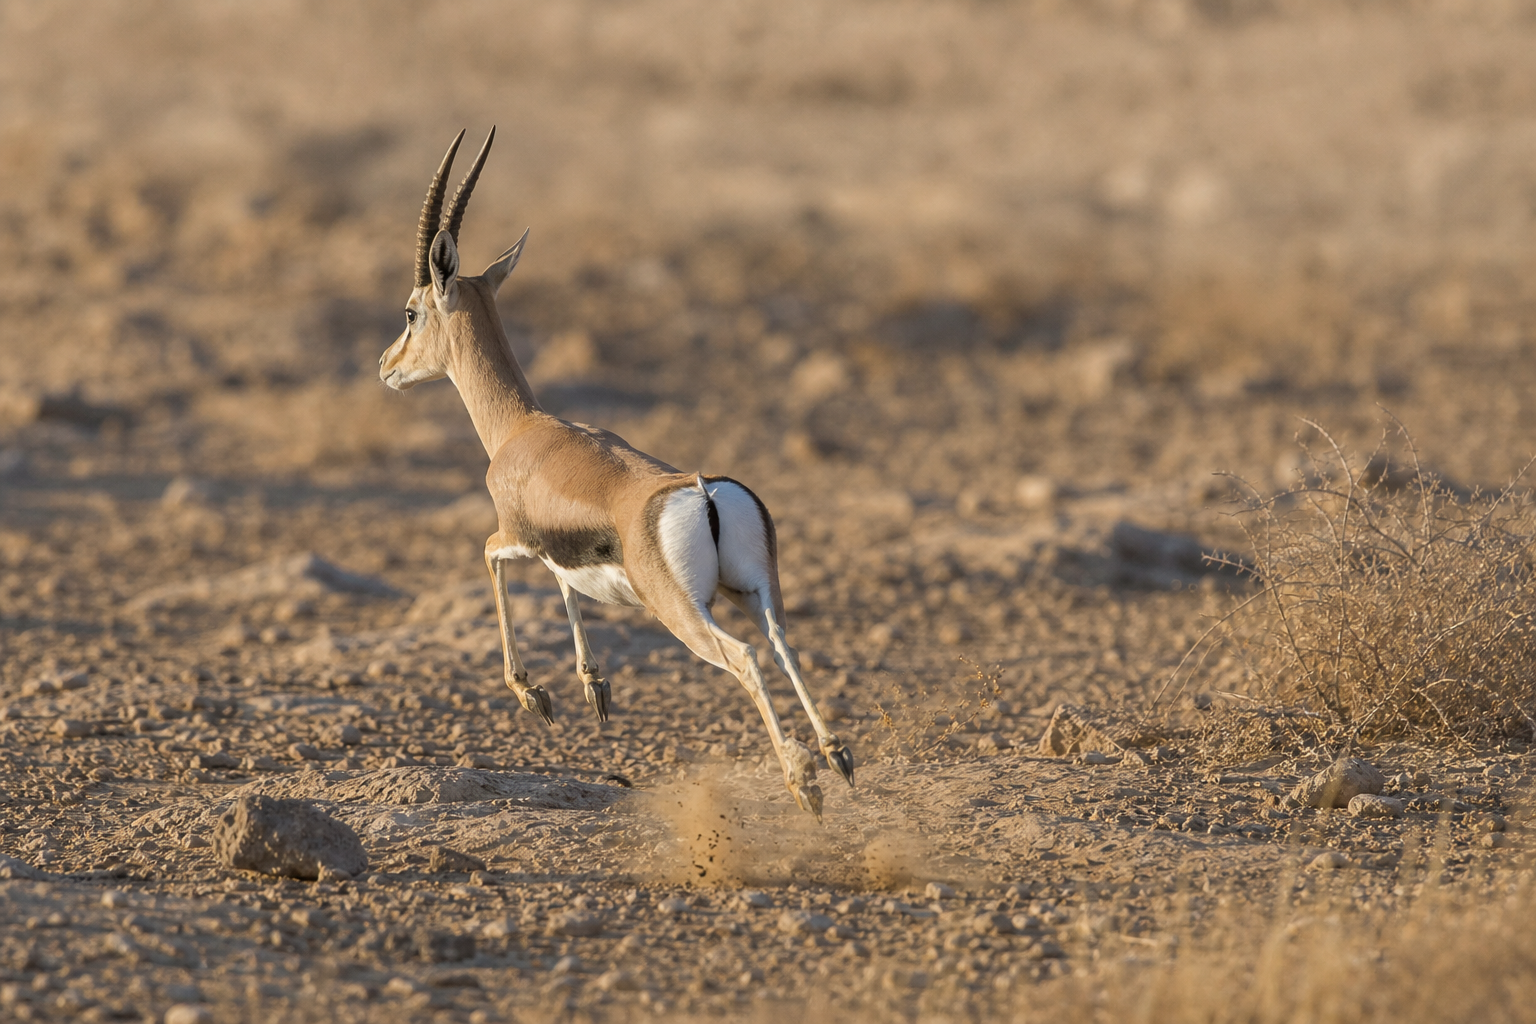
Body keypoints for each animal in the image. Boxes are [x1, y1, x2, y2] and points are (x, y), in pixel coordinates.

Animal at [378, 129, 854, 818]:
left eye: (412, 311)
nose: (386, 364)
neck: (522, 428)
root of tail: (704, 494)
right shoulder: (560, 550)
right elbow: (567, 585)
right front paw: (592, 685)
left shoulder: (513, 535)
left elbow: (493, 557)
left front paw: (536, 693)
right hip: (754, 592)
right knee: (783, 644)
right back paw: (837, 757)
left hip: (685, 614)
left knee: (744, 658)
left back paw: (803, 783)